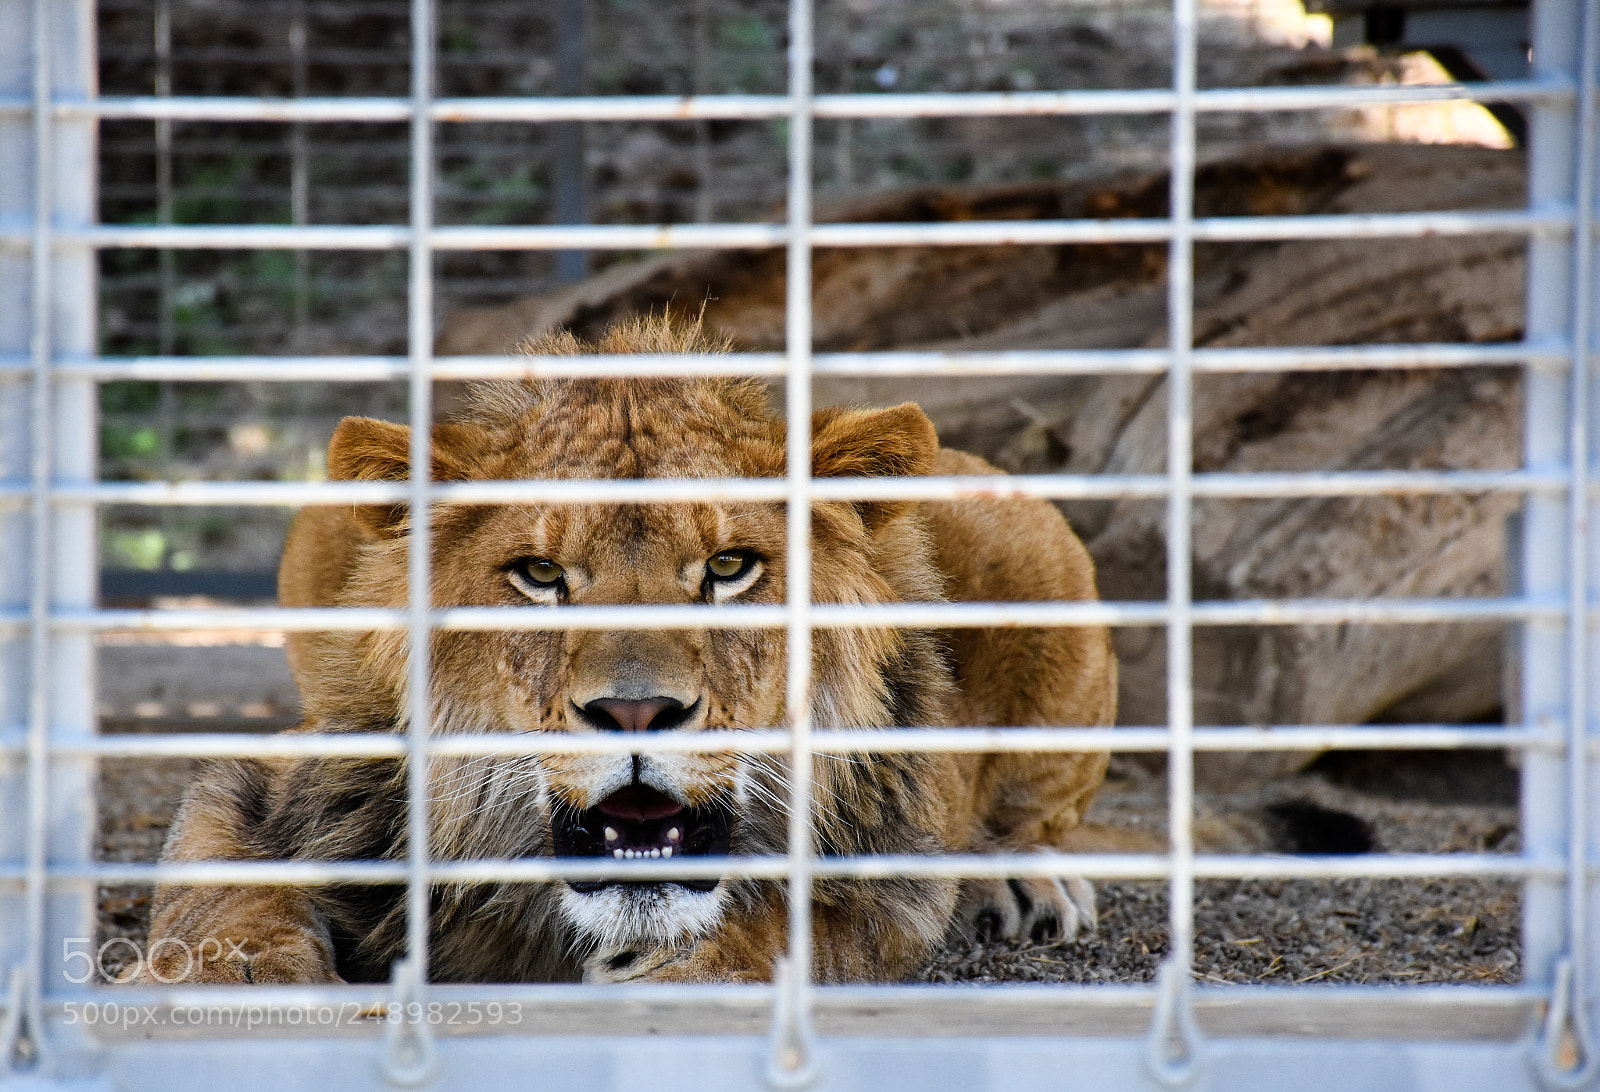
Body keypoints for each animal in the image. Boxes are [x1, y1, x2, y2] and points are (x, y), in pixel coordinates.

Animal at [141, 315, 1116, 985]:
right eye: (539, 574)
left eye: (729, 567)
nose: (636, 711)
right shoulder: (275, 784)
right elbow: (215, 875)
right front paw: (234, 974)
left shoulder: (891, 877)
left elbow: (806, 926)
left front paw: (698, 965)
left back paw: (1021, 881)